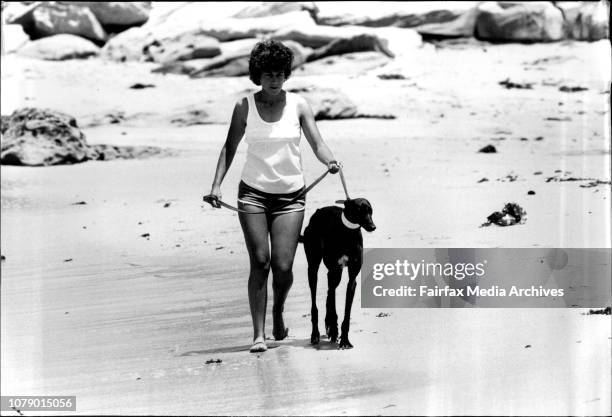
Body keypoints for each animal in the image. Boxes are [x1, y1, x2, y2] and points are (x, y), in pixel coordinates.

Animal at [300, 198, 376, 348]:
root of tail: (317, 212)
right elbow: (332, 303)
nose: (372, 226)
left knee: (329, 292)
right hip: (314, 268)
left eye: (370, 211)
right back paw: (316, 334)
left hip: (337, 274)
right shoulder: (333, 270)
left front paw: (345, 339)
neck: (348, 233)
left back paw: (329, 325)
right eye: (359, 210)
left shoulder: (352, 278)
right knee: (317, 301)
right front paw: (334, 329)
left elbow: (346, 311)